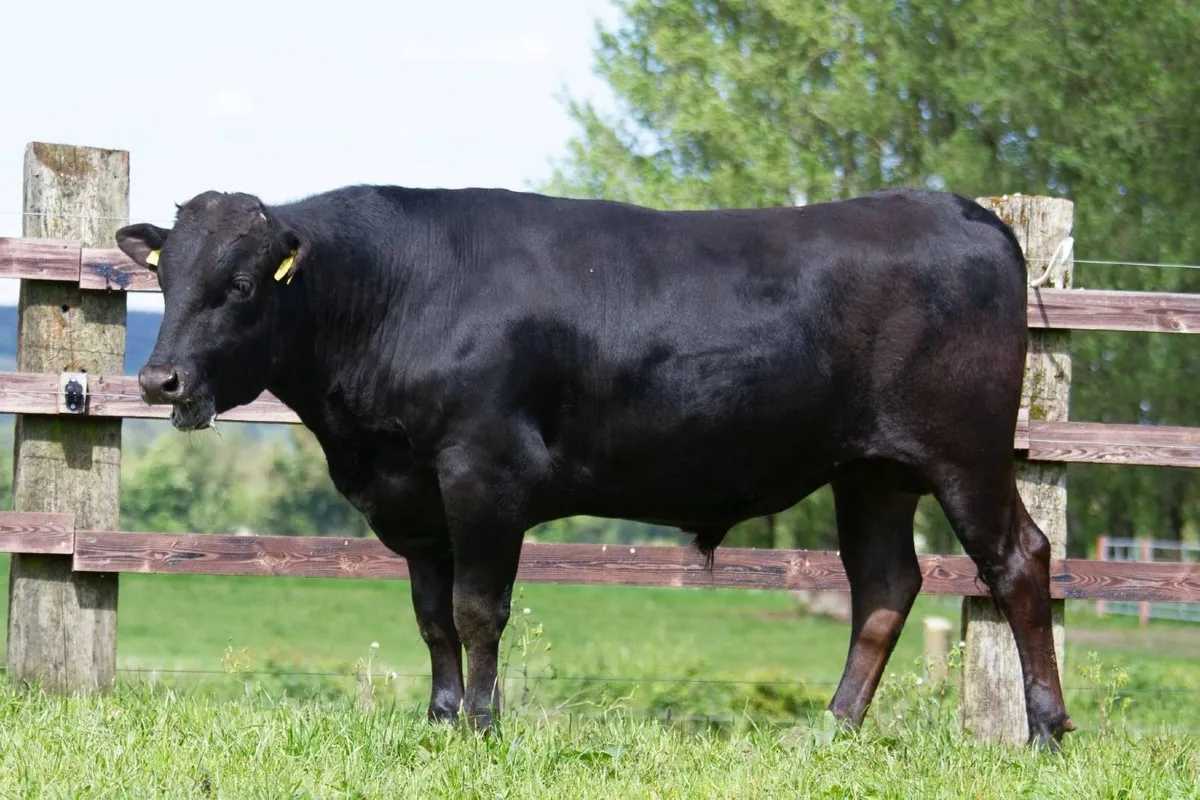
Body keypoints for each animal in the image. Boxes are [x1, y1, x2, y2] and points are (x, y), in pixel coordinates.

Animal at [115, 184, 1074, 747]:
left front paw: (482, 730)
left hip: (965, 450)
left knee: (1019, 560)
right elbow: (431, 620)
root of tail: (963, 209)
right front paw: (438, 722)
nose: (160, 379)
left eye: (242, 285)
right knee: (883, 585)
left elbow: (477, 613)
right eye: (166, 278)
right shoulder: (415, 498)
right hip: (870, 469)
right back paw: (831, 731)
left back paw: (1044, 730)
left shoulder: (483, 472)